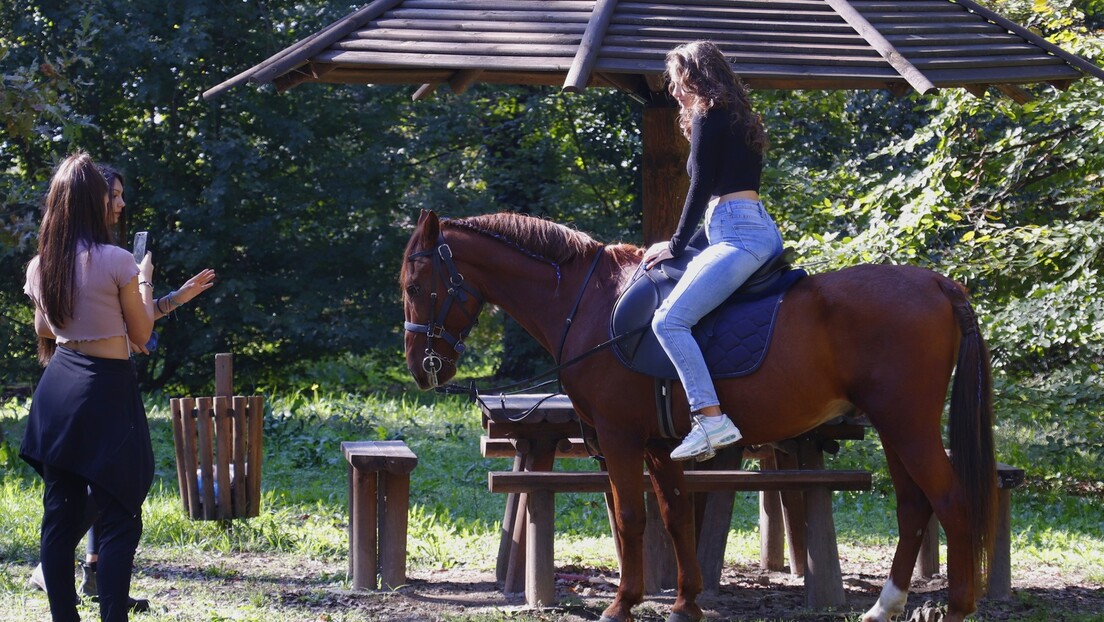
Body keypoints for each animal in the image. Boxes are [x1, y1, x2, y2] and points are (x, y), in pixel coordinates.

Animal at [401, 211, 998, 622]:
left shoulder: (619, 437)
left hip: (908, 425)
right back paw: (885, 605)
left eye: (414, 286)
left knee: (951, 500)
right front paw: (685, 602)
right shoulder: (659, 445)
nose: (421, 368)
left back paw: (958, 607)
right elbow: (674, 515)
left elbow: (632, 518)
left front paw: (622, 604)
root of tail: (937, 283)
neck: (589, 304)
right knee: (913, 506)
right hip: (894, 428)